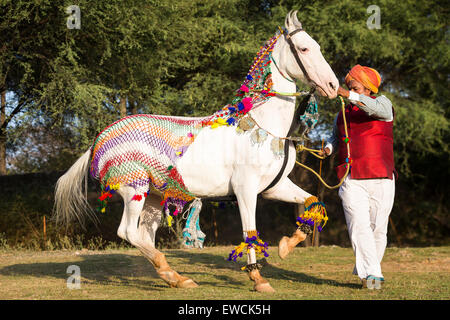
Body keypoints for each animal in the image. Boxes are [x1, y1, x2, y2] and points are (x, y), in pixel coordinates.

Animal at [53, 11, 338, 292]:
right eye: (304, 48)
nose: (333, 85)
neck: (264, 127)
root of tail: (98, 141)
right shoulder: (246, 189)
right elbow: (250, 232)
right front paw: (258, 279)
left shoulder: (273, 187)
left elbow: (313, 202)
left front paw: (285, 246)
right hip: (134, 190)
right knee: (128, 232)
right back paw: (173, 273)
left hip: (154, 198)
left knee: (144, 236)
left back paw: (175, 277)